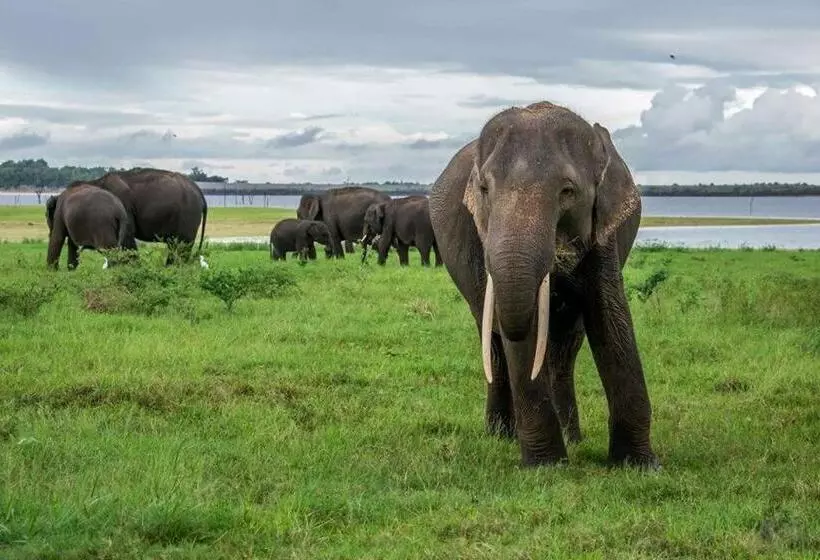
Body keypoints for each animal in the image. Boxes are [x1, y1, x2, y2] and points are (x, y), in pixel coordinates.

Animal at [428, 101, 658, 469]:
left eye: (568, 191)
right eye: (484, 189)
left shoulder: (603, 230)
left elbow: (609, 315)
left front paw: (638, 465)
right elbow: (520, 335)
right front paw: (546, 466)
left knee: (564, 347)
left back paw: (572, 437)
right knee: (494, 343)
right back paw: (501, 435)